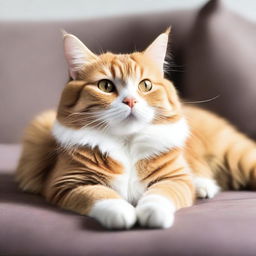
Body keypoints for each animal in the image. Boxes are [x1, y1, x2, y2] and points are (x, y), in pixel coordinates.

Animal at [15, 29, 256, 229]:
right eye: (105, 86)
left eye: (145, 85)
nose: (130, 101)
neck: (127, 142)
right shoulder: (68, 183)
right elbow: (100, 195)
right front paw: (122, 213)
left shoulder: (175, 179)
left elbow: (160, 195)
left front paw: (152, 212)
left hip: (235, 155)